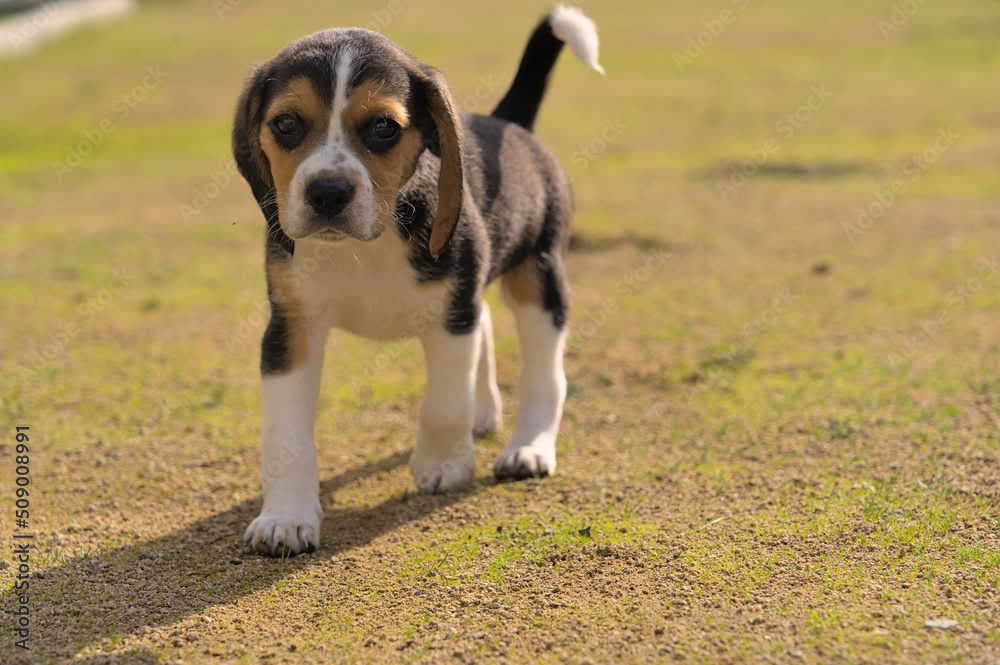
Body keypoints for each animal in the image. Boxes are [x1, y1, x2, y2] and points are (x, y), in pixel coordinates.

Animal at [235, 5, 604, 556]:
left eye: (384, 127)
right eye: (285, 123)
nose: (327, 193)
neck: (367, 244)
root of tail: (508, 123)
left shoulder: (450, 318)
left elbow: (444, 403)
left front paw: (443, 465)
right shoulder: (290, 329)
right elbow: (286, 437)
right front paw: (286, 519)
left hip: (539, 278)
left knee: (544, 373)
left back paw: (528, 447)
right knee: (487, 322)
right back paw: (485, 412)